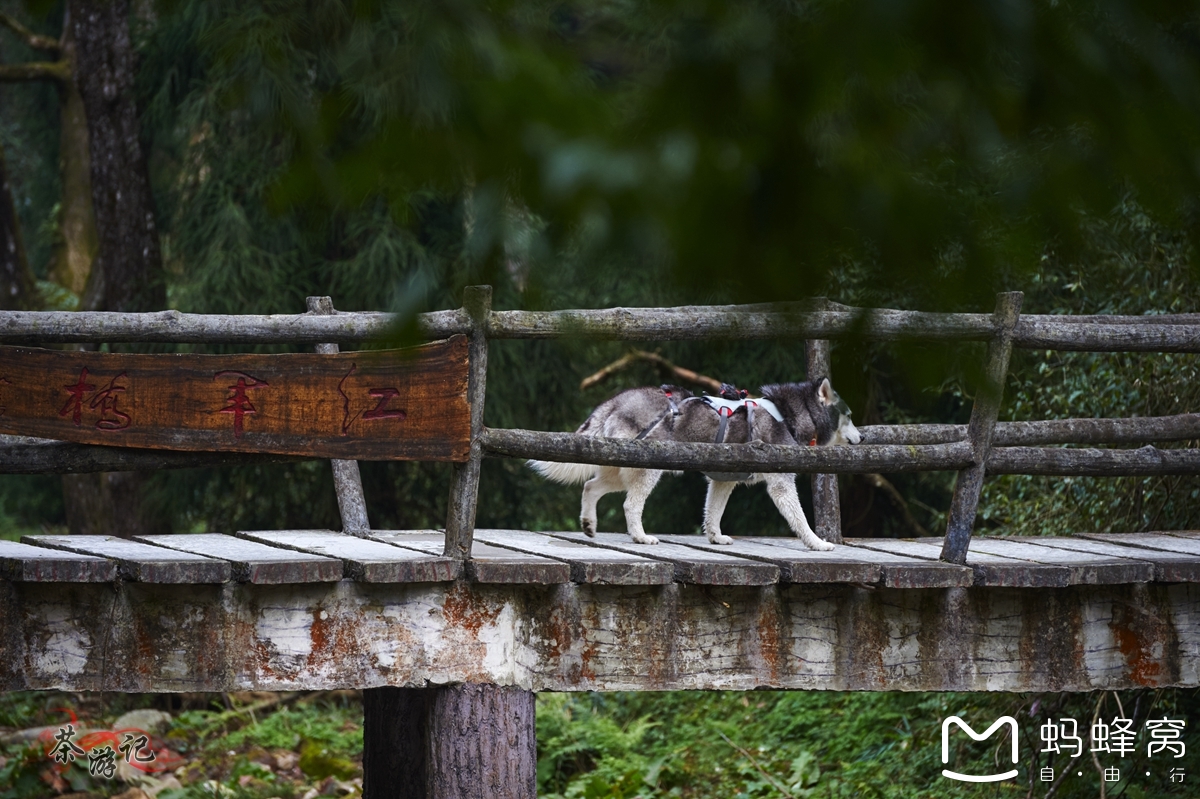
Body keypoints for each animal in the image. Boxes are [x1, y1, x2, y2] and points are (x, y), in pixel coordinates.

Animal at [530, 379, 859, 547]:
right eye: (850, 416)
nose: (864, 437)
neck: (790, 415)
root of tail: (618, 399)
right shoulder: (781, 485)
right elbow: (801, 519)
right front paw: (817, 543)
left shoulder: (723, 480)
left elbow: (713, 513)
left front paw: (715, 537)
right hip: (648, 471)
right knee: (629, 505)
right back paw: (640, 536)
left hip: (618, 470)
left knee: (590, 486)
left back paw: (589, 524)